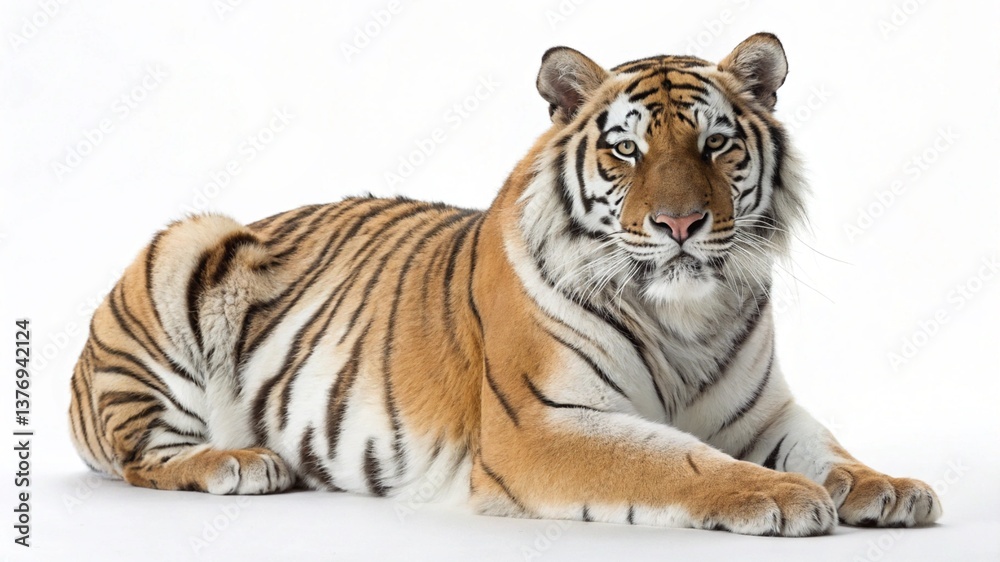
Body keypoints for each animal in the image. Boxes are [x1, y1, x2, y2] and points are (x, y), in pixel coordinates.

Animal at [69, 32, 942, 536]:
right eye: (626, 150)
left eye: (716, 145)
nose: (681, 224)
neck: (685, 317)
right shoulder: (543, 424)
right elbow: (678, 461)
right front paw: (782, 496)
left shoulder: (764, 413)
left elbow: (829, 449)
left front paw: (889, 487)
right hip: (186, 246)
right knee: (145, 454)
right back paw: (244, 463)